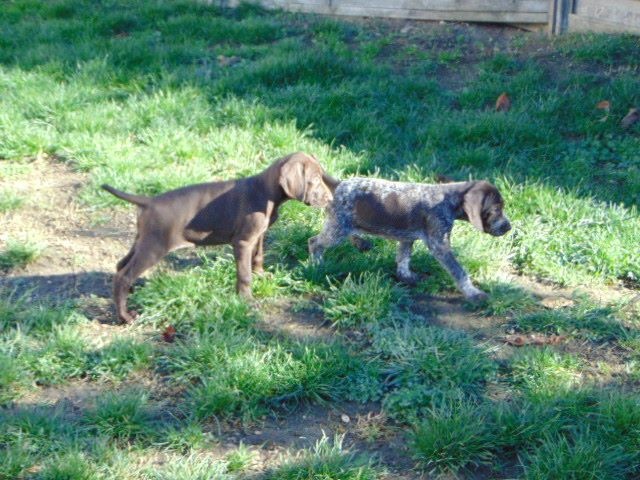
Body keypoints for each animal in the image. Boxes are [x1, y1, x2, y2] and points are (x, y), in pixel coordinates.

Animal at [102, 152, 332, 322]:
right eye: (314, 180)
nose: (330, 199)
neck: (266, 192)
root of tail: (148, 201)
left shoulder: (258, 235)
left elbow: (258, 257)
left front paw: (261, 275)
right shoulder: (243, 242)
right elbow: (244, 274)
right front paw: (247, 300)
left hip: (142, 239)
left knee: (121, 265)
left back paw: (129, 292)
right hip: (154, 246)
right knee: (123, 275)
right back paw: (125, 316)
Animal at [308, 178, 512, 302]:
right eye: (496, 209)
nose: (508, 227)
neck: (449, 200)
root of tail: (339, 184)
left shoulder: (407, 238)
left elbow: (404, 259)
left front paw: (406, 276)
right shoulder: (439, 244)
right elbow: (459, 271)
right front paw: (473, 292)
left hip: (343, 223)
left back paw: (360, 242)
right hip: (338, 228)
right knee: (315, 242)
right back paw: (318, 265)